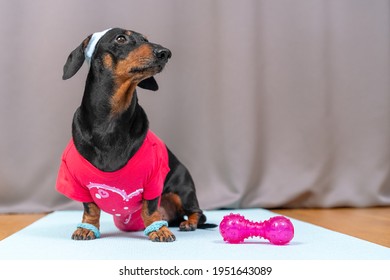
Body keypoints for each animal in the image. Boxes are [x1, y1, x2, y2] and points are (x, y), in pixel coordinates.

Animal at [55, 29, 210, 243]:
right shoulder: (78, 182)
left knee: (198, 213)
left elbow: (150, 207)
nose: (165, 53)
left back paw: (188, 223)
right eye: (121, 38)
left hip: (183, 190)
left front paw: (158, 230)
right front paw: (87, 228)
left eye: (145, 39)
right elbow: (91, 208)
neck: (110, 121)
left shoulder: (154, 178)